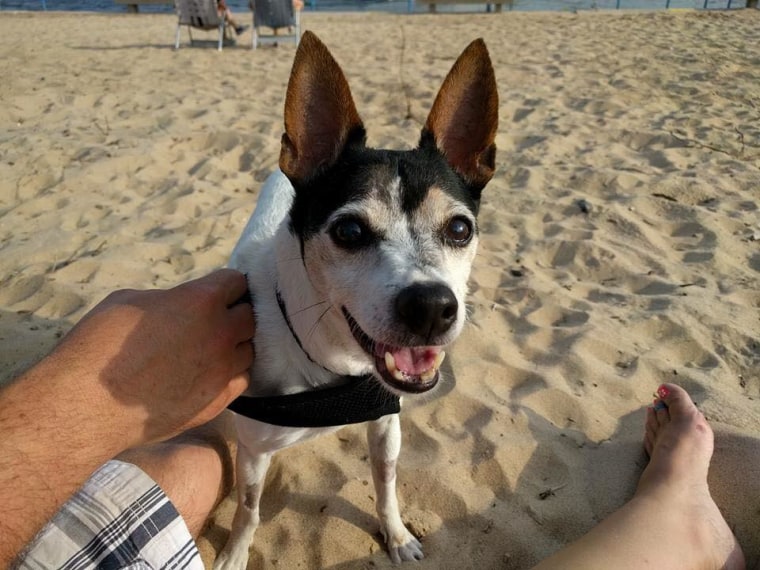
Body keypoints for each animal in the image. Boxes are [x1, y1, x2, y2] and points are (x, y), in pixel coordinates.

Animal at [214, 32, 498, 568]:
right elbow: (248, 507)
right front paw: (235, 552)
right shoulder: (254, 451)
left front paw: (397, 535)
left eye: (459, 229)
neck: (331, 369)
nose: (431, 307)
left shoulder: (386, 427)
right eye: (348, 231)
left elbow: (385, 485)